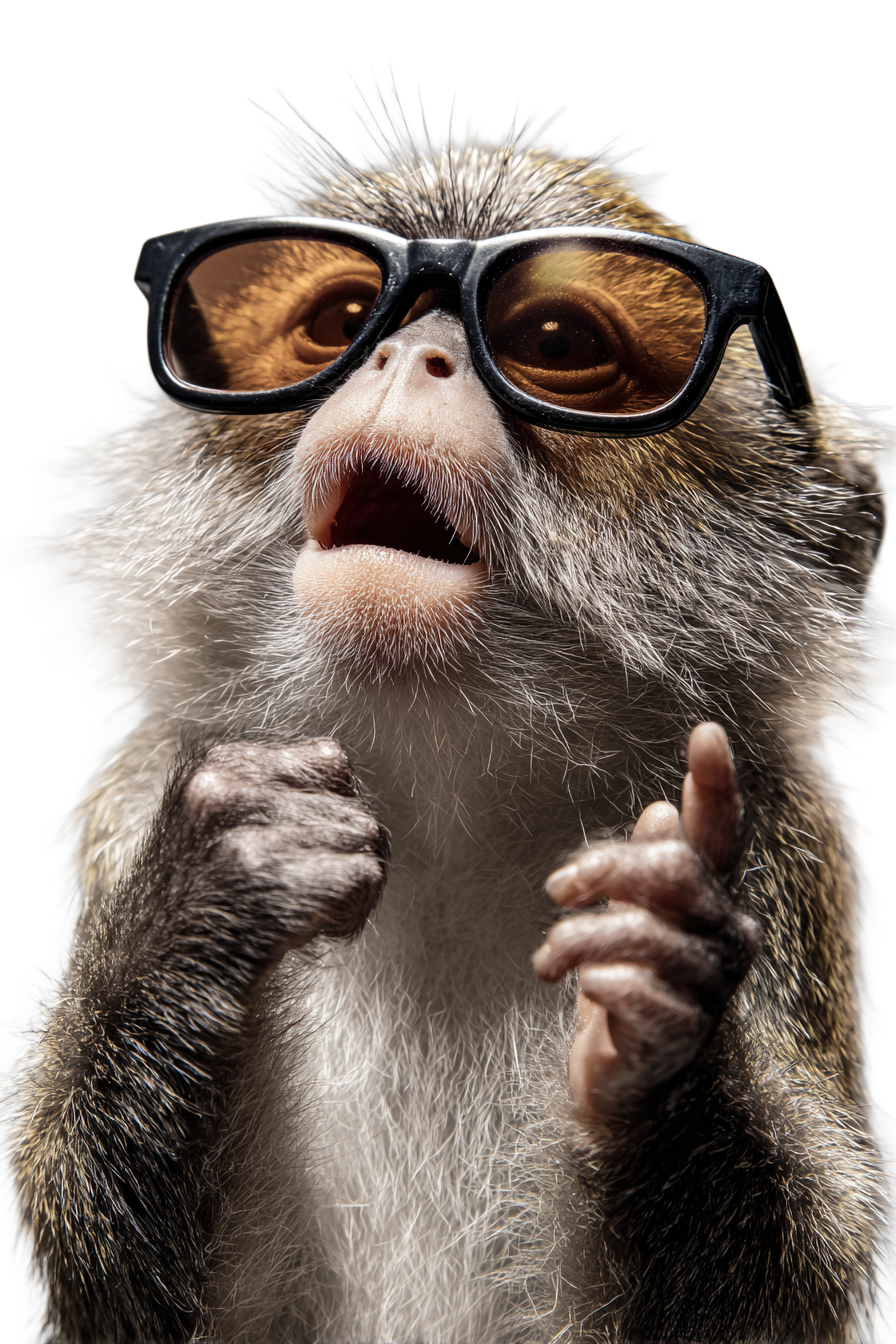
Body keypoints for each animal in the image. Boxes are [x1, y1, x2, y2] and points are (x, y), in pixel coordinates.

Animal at [8, 132, 889, 1344]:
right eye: (342, 321)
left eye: (554, 343)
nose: (406, 357)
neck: (445, 798)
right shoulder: (146, 785)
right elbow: (143, 1298)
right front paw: (202, 900)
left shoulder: (776, 831)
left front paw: (662, 994)